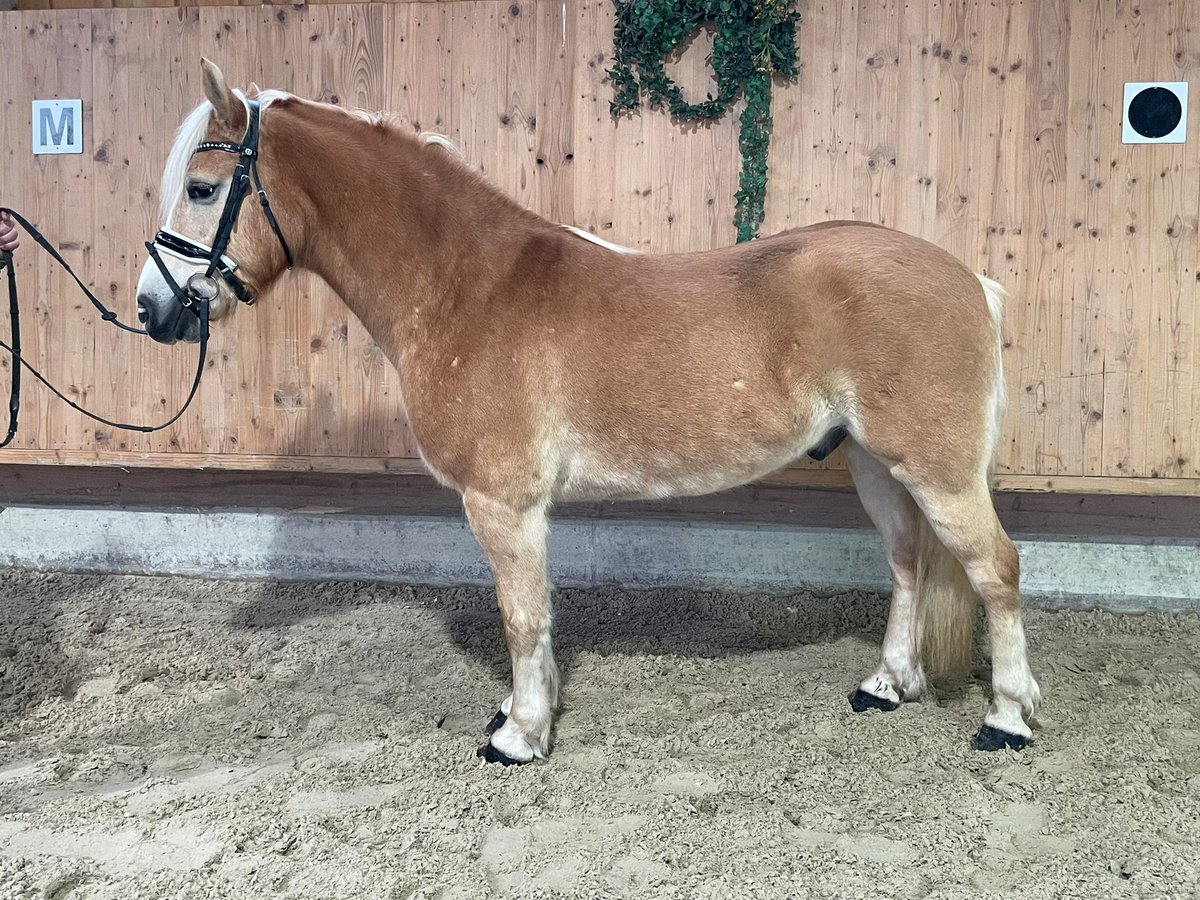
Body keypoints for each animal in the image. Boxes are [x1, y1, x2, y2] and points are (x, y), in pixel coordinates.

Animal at [136, 61, 1041, 768]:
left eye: (202, 189)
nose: (153, 309)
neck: (468, 288)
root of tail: (970, 280)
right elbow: (537, 616)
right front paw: (521, 713)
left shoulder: (502, 503)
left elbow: (522, 616)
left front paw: (519, 737)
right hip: (874, 462)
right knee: (908, 564)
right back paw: (887, 686)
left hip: (938, 472)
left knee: (995, 569)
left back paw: (1006, 719)